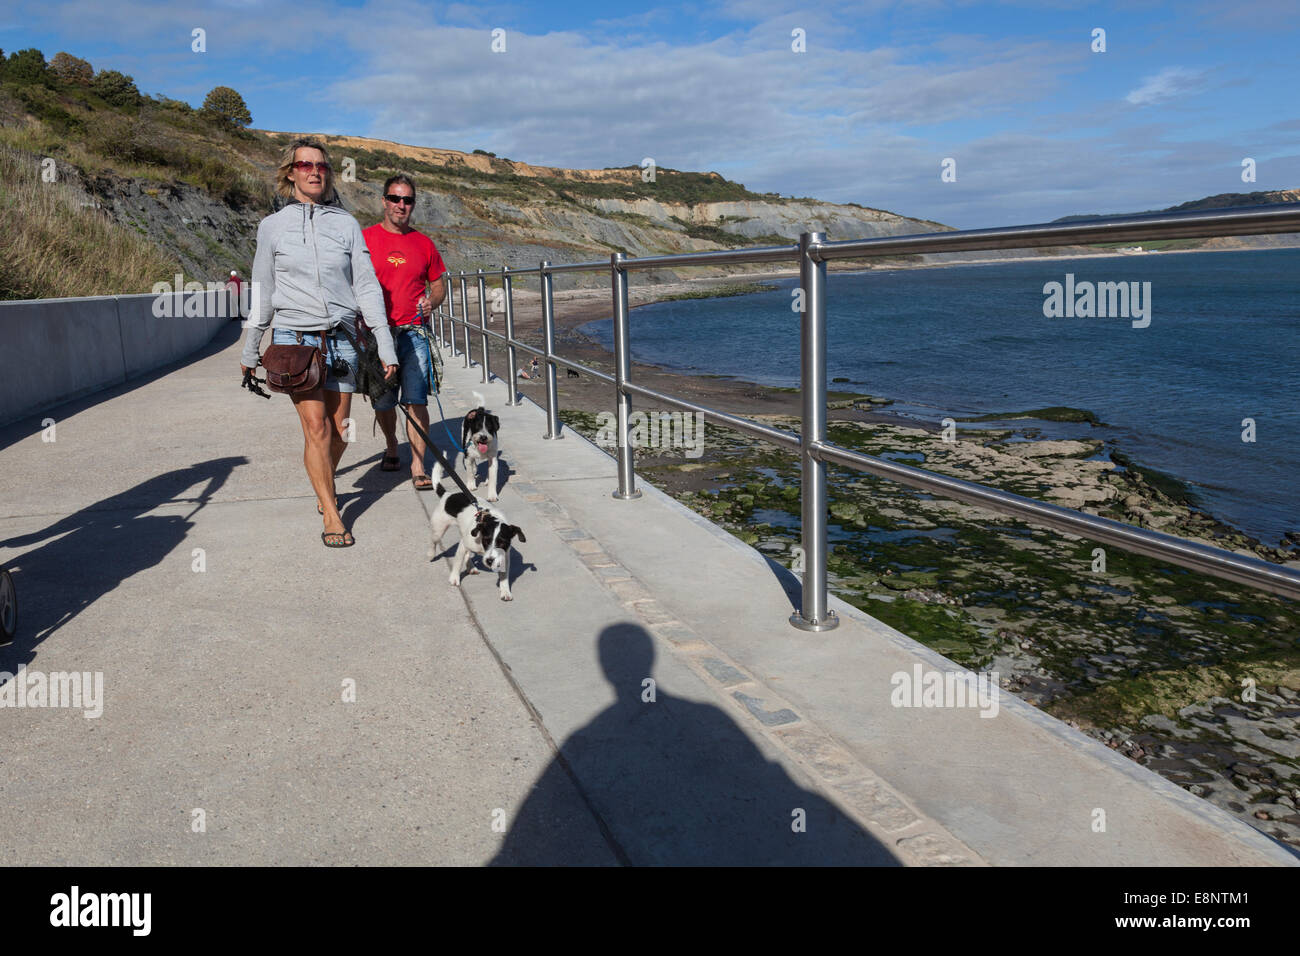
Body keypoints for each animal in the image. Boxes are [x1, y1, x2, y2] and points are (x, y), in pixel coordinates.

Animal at [428, 463, 525, 600]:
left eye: (502, 542)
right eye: (486, 540)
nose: (489, 561)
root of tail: (447, 495)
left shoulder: (504, 555)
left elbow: (504, 576)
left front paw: (505, 591)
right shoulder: (464, 544)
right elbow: (457, 562)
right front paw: (454, 578)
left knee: (467, 554)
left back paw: (471, 567)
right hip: (439, 529)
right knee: (433, 541)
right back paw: (431, 554)